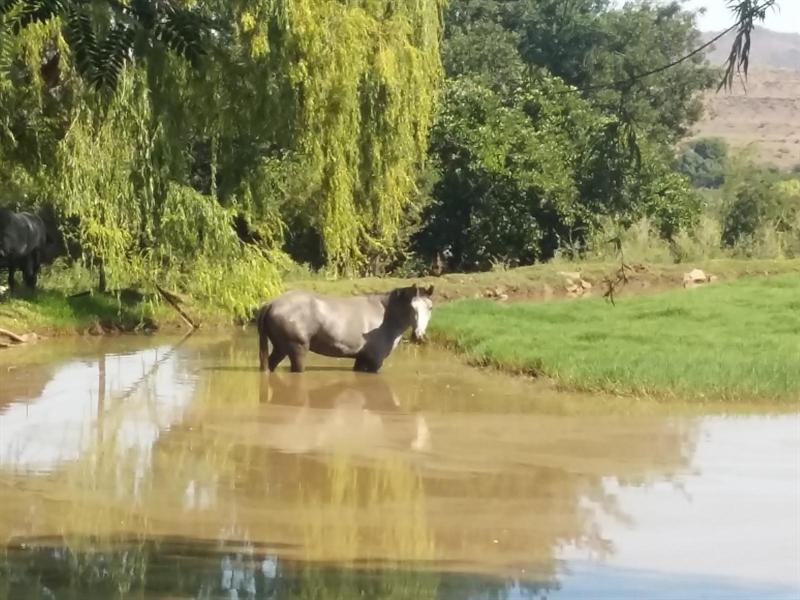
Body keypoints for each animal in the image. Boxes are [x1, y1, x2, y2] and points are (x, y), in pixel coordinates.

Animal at [257, 284, 435, 373]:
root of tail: (271, 303)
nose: (419, 336)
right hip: (297, 350)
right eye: (412, 307)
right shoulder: (375, 362)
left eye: (430, 307)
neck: (386, 317)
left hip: (280, 348)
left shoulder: (362, 359)